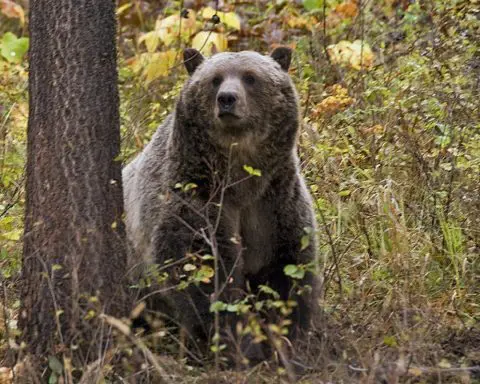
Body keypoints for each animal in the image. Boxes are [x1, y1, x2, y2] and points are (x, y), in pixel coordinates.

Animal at [123, 46, 318, 362]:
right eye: (215, 79)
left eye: (250, 77)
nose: (227, 98)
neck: (240, 179)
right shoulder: (196, 197)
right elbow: (203, 272)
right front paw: (235, 342)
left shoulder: (274, 204)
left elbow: (287, 269)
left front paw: (287, 335)